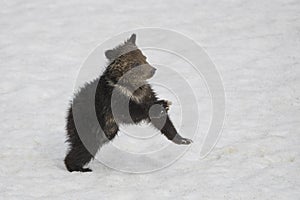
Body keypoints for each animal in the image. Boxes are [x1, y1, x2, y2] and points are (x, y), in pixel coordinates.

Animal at [64, 33, 193, 172]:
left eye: (144, 57)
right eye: (135, 62)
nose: (153, 70)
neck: (132, 87)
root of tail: (69, 111)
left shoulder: (146, 94)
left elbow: (162, 121)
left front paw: (183, 139)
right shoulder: (114, 100)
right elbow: (131, 113)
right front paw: (163, 103)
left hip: (107, 129)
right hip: (89, 123)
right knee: (84, 147)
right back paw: (78, 167)